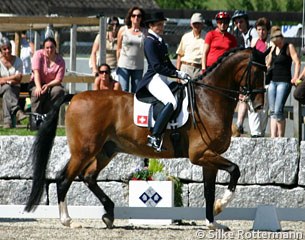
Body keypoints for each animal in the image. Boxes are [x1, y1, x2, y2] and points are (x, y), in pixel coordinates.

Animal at [25, 47, 268, 229]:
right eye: (256, 72)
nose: (258, 106)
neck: (209, 100)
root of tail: (75, 96)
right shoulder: (200, 154)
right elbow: (235, 170)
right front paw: (220, 207)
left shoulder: (209, 158)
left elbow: (209, 190)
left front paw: (212, 222)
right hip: (84, 150)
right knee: (64, 178)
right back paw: (68, 220)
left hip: (106, 150)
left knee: (88, 177)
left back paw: (109, 213)